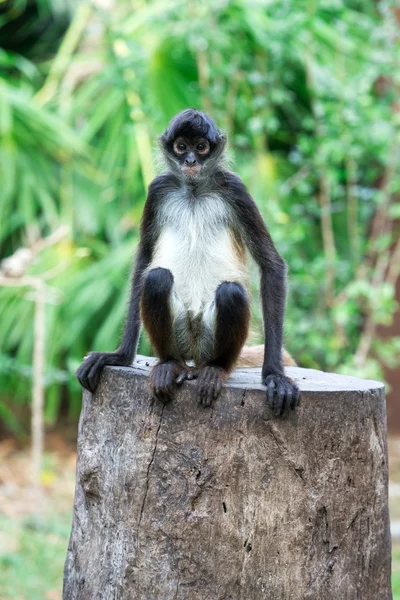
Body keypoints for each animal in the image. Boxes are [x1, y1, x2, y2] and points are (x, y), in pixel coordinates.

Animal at [76, 109, 298, 418]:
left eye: (201, 147)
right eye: (181, 147)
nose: (190, 161)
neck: (194, 190)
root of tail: (193, 356)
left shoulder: (235, 187)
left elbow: (272, 264)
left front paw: (275, 375)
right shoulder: (158, 188)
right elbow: (144, 262)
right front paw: (120, 356)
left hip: (207, 341)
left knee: (230, 292)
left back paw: (215, 369)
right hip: (181, 336)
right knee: (157, 279)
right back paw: (170, 364)